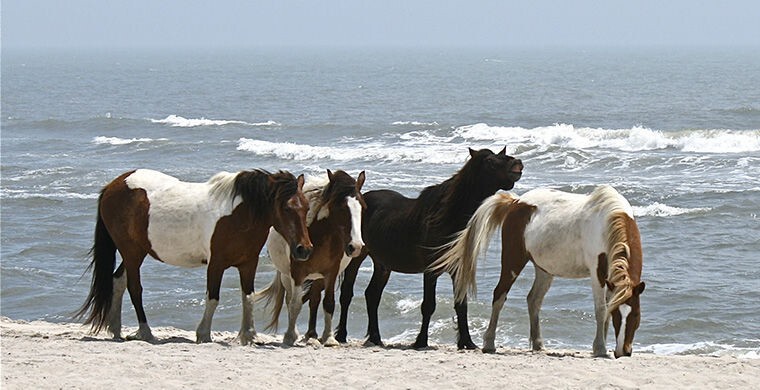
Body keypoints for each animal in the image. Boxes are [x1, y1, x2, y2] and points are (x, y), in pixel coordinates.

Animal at [75, 168, 314, 344]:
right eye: (286, 208)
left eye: (306, 207)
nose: (304, 249)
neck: (240, 214)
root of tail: (113, 186)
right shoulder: (216, 264)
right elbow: (213, 298)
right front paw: (204, 334)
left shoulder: (248, 264)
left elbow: (248, 297)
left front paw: (248, 336)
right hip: (132, 253)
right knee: (134, 289)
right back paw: (146, 333)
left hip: (136, 252)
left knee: (118, 281)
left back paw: (115, 330)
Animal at [255, 169, 366, 346]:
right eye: (341, 207)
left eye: (362, 207)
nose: (355, 246)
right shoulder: (297, 274)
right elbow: (295, 304)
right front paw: (289, 336)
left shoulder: (331, 273)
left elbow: (328, 303)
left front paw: (329, 338)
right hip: (287, 277)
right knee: (290, 300)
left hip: (317, 278)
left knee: (314, 299)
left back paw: (312, 334)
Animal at [336, 148, 524, 348]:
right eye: (490, 161)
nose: (517, 164)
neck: (447, 217)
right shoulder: (431, 271)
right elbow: (428, 306)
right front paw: (421, 341)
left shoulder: (457, 271)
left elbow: (461, 305)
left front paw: (467, 342)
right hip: (356, 257)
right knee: (347, 294)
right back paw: (341, 336)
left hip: (382, 265)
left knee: (372, 296)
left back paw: (376, 338)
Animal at [430, 184, 644, 358]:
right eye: (619, 316)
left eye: (635, 315)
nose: (623, 351)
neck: (607, 223)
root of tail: (515, 202)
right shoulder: (597, 274)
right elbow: (601, 310)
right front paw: (599, 348)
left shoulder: (611, 280)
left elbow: (605, 309)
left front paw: (602, 347)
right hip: (513, 261)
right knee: (499, 295)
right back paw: (489, 343)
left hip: (544, 269)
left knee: (533, 300)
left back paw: (538, 344)